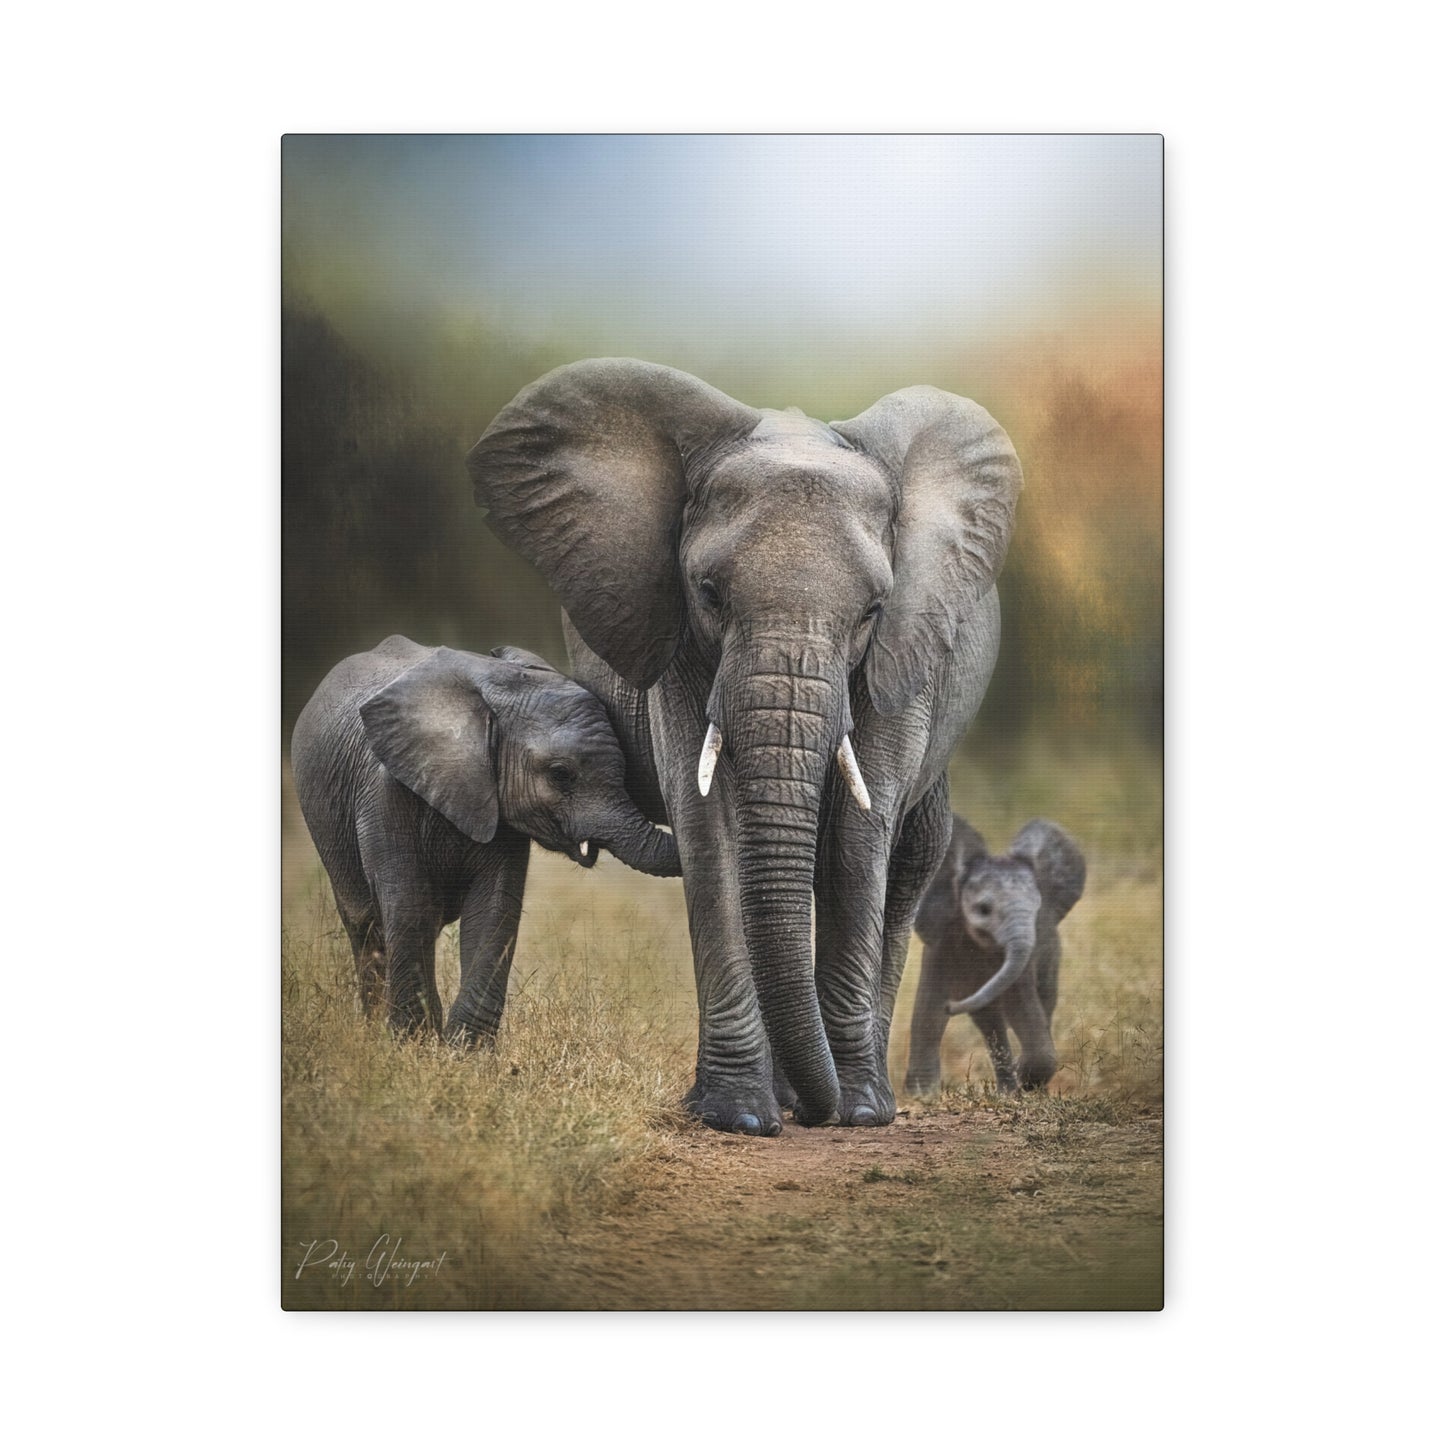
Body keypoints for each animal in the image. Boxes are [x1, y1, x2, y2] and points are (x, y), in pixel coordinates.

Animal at [290, 634, 680, 1041]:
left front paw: (463, 1049)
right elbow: (409, 903)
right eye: (561, 774)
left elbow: (494, 910)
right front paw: (414, 1044)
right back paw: (373, 1030)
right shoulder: (384, 790)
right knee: (366, 927)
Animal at [467, 359, 1021, 1133]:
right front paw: (736, 1115)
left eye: (872, 611)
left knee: (909, 857)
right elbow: (711, 829)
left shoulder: (907, 644)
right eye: (708, 594)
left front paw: (856, 1112)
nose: (821, 1110)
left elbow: (859, 840)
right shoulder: (675, 642)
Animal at [905, 816, 1085, 1095]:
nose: (952, 1005)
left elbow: (1022, 1006)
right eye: (984, 909)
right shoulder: (941, 943)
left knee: (1042, 1004)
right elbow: (929, 1012)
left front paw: (1026, 1078)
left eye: (1037, 909)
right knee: (990, 1021)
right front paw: (922, 1095)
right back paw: (1007, 1091)